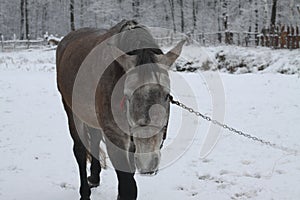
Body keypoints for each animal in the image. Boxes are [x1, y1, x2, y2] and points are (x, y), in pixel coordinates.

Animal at [55, 19, 184, 200]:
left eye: (167, 95)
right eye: (127, 96)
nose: (147, 161)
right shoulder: (115, 137)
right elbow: (129, 188)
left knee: (94, 141)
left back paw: (94, 177)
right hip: (72, 112)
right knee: (79, 151)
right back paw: (85, 192)